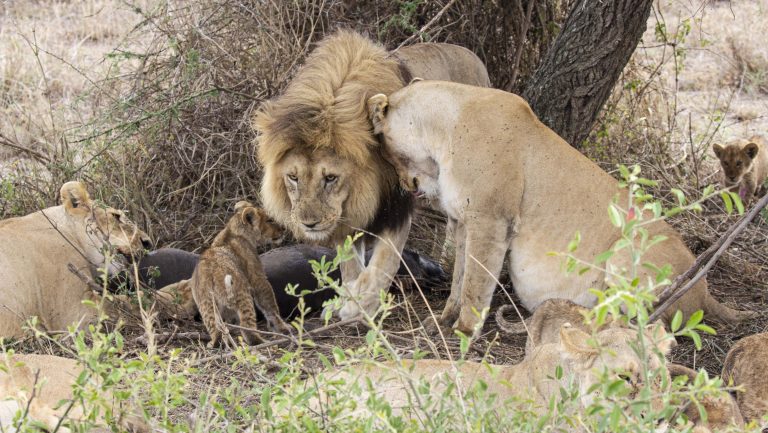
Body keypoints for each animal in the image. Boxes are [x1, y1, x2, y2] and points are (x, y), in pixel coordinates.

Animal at [190, 201, 292, 347]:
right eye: (269, 220)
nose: (283, 229)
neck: (233, 230)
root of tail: (210, 273)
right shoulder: (258, 278)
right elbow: (270, 305)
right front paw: (282, 327)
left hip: (205, 303)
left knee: (215, 329)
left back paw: (216, 343)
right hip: (242, 293)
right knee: (247, 328)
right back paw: (263, 342)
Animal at [253, 30, 490, 321]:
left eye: (330, 178)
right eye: (293, 177)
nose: (309, 224)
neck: (365, 187)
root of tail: (473, 56)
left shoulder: (397, 208)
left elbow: (382, 265)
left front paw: (360, 305)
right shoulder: (342, 215)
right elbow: (350, 266)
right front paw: (346, 299)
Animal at [367, 81, 752, 336]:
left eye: (383, 149)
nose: (406, 186)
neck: (442, 128)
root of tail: (705, 291)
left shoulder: (491, 221)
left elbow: (476, 284)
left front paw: (464, 331)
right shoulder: (464, 222)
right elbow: (460, 278)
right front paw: (443, 320)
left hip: (628, 250)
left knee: (640, 321)